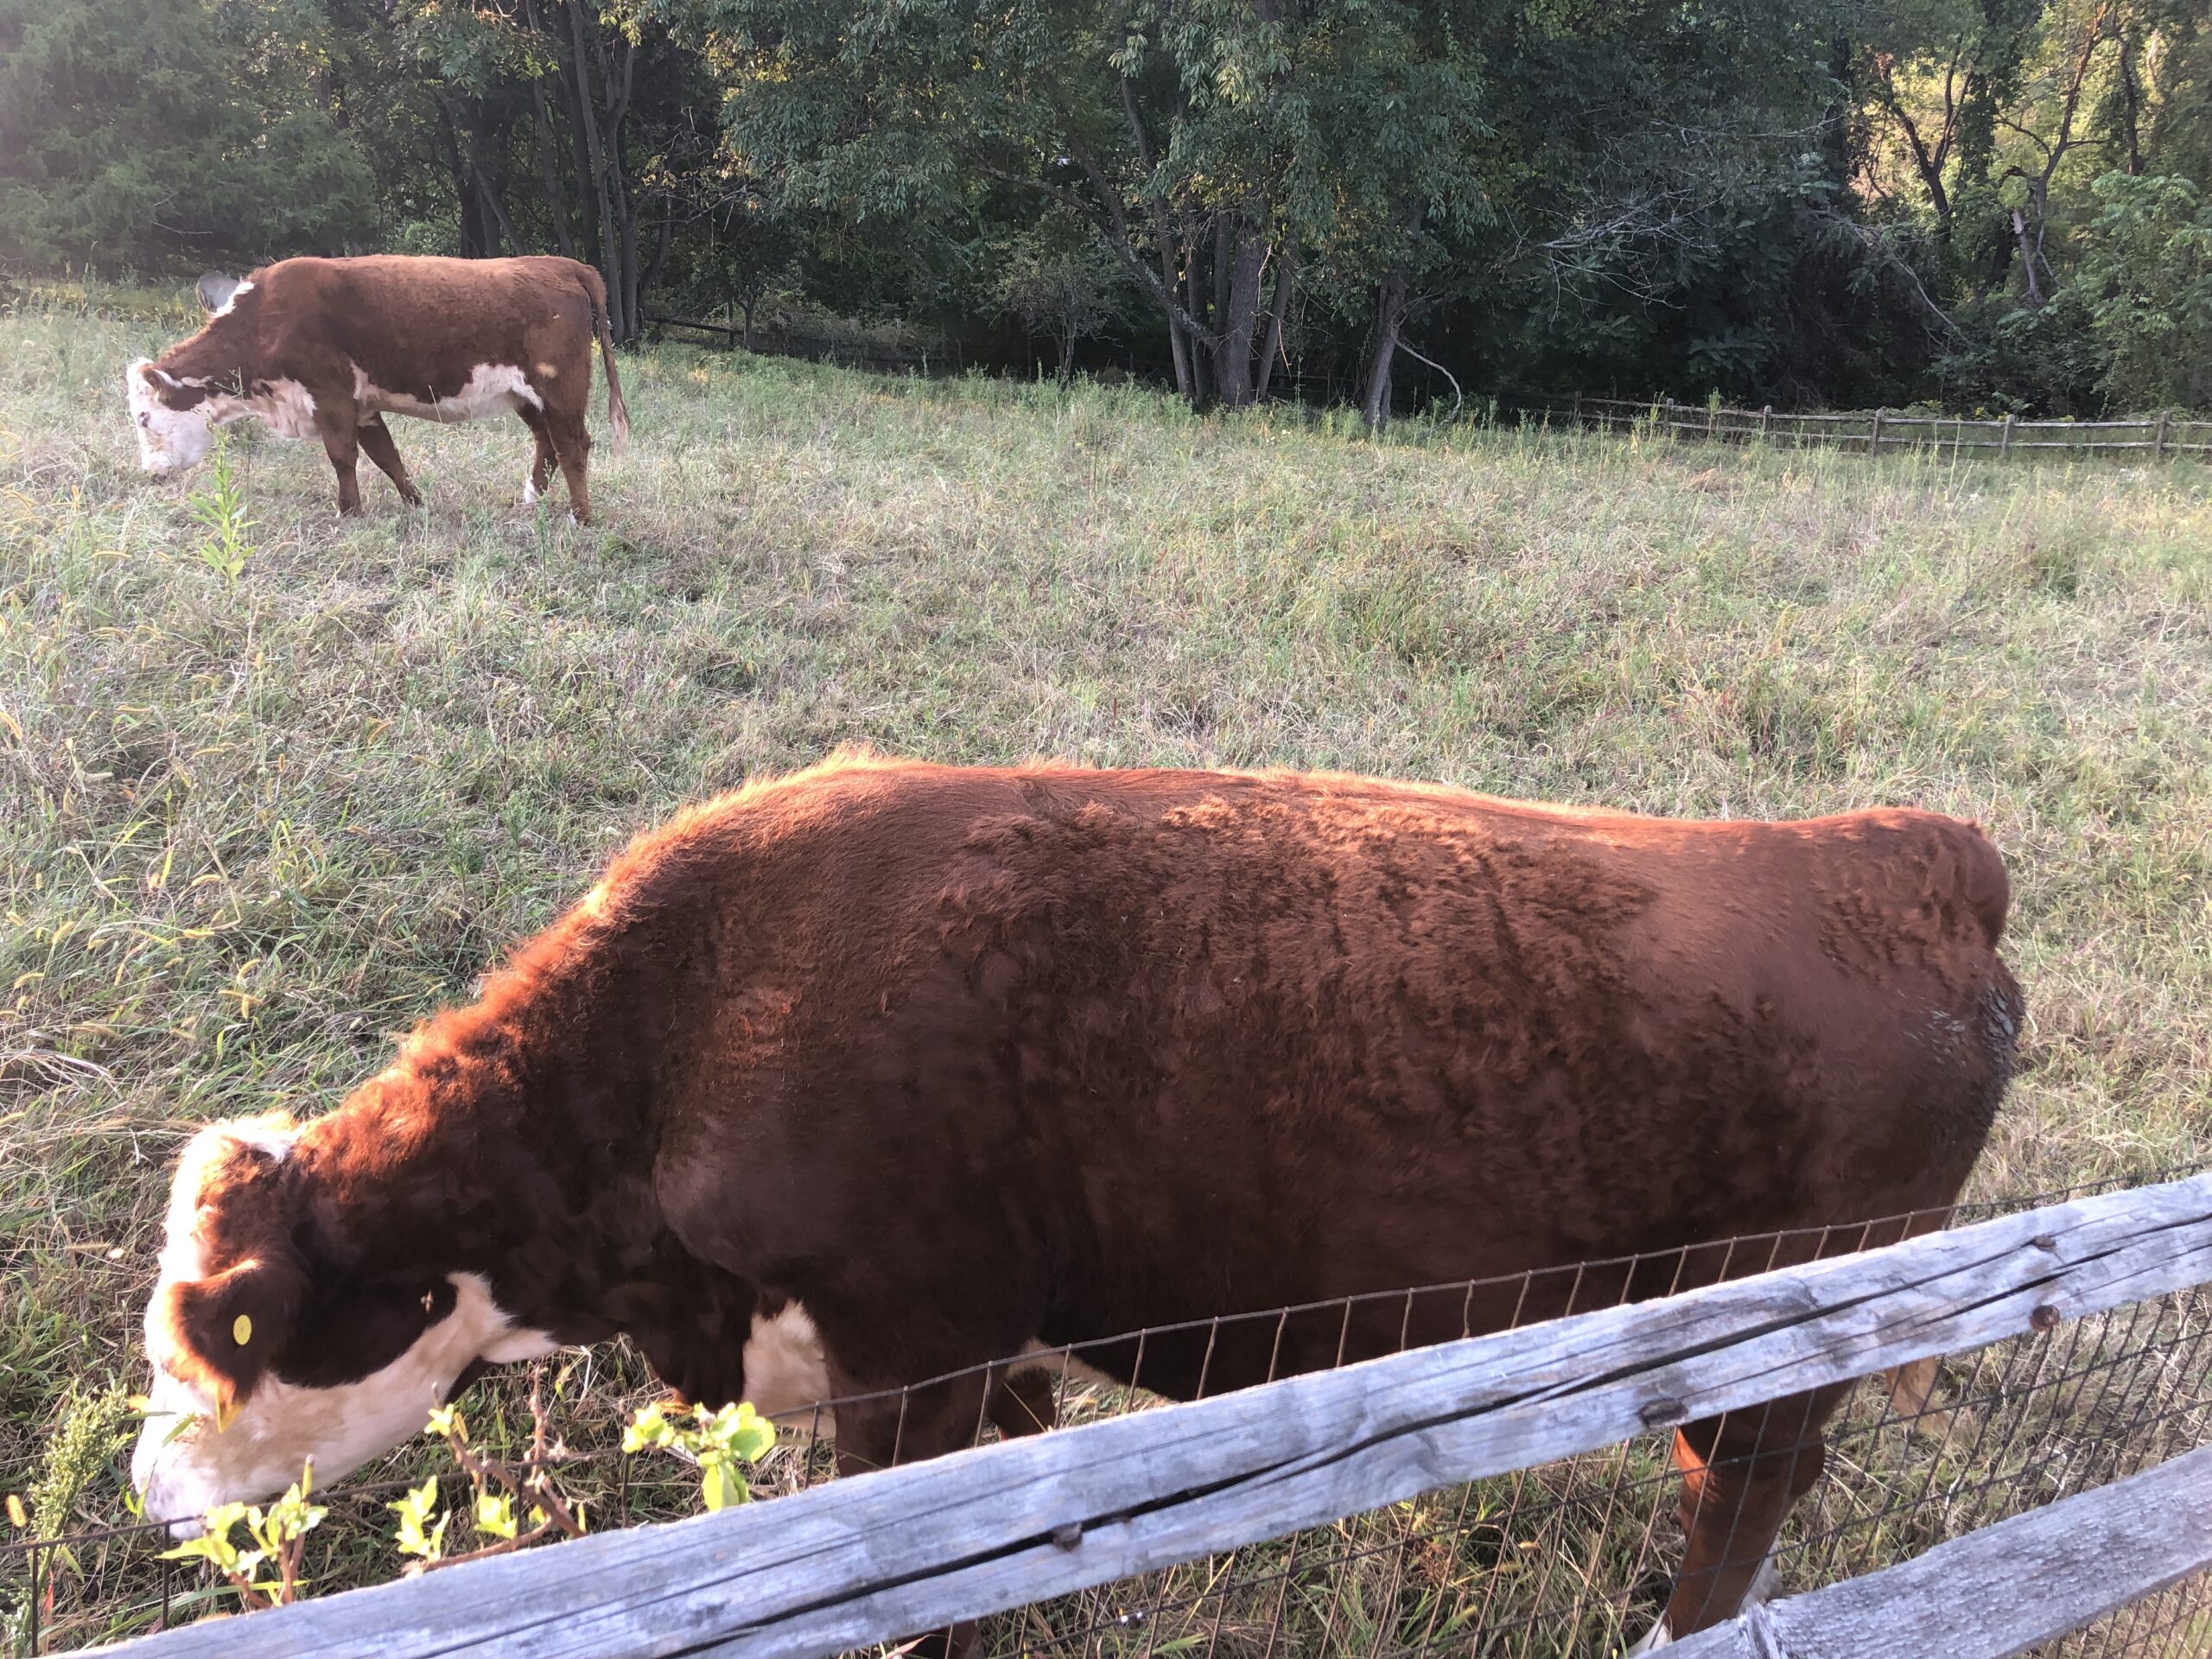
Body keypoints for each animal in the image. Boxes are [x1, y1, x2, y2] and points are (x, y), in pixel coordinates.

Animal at [125, 255, 628, 519]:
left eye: (144, 418)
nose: (151, 472)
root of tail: (560, 262)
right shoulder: (362, 405)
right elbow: (387, 456)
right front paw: (416, 505)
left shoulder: (329, 395)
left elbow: (342, 457)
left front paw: (348, 512)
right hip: (527, 395)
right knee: (547, 441)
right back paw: (530, 499)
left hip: (560, 387)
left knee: (573, 445)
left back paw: (580, 517)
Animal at [125, 756, 2025, 1654]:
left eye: (225, 1332)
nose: (151, 1492)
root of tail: (1891, 851)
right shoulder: (981, 1348)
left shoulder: (910, 1348)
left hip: (1795, 1309)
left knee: (1743, 1488)